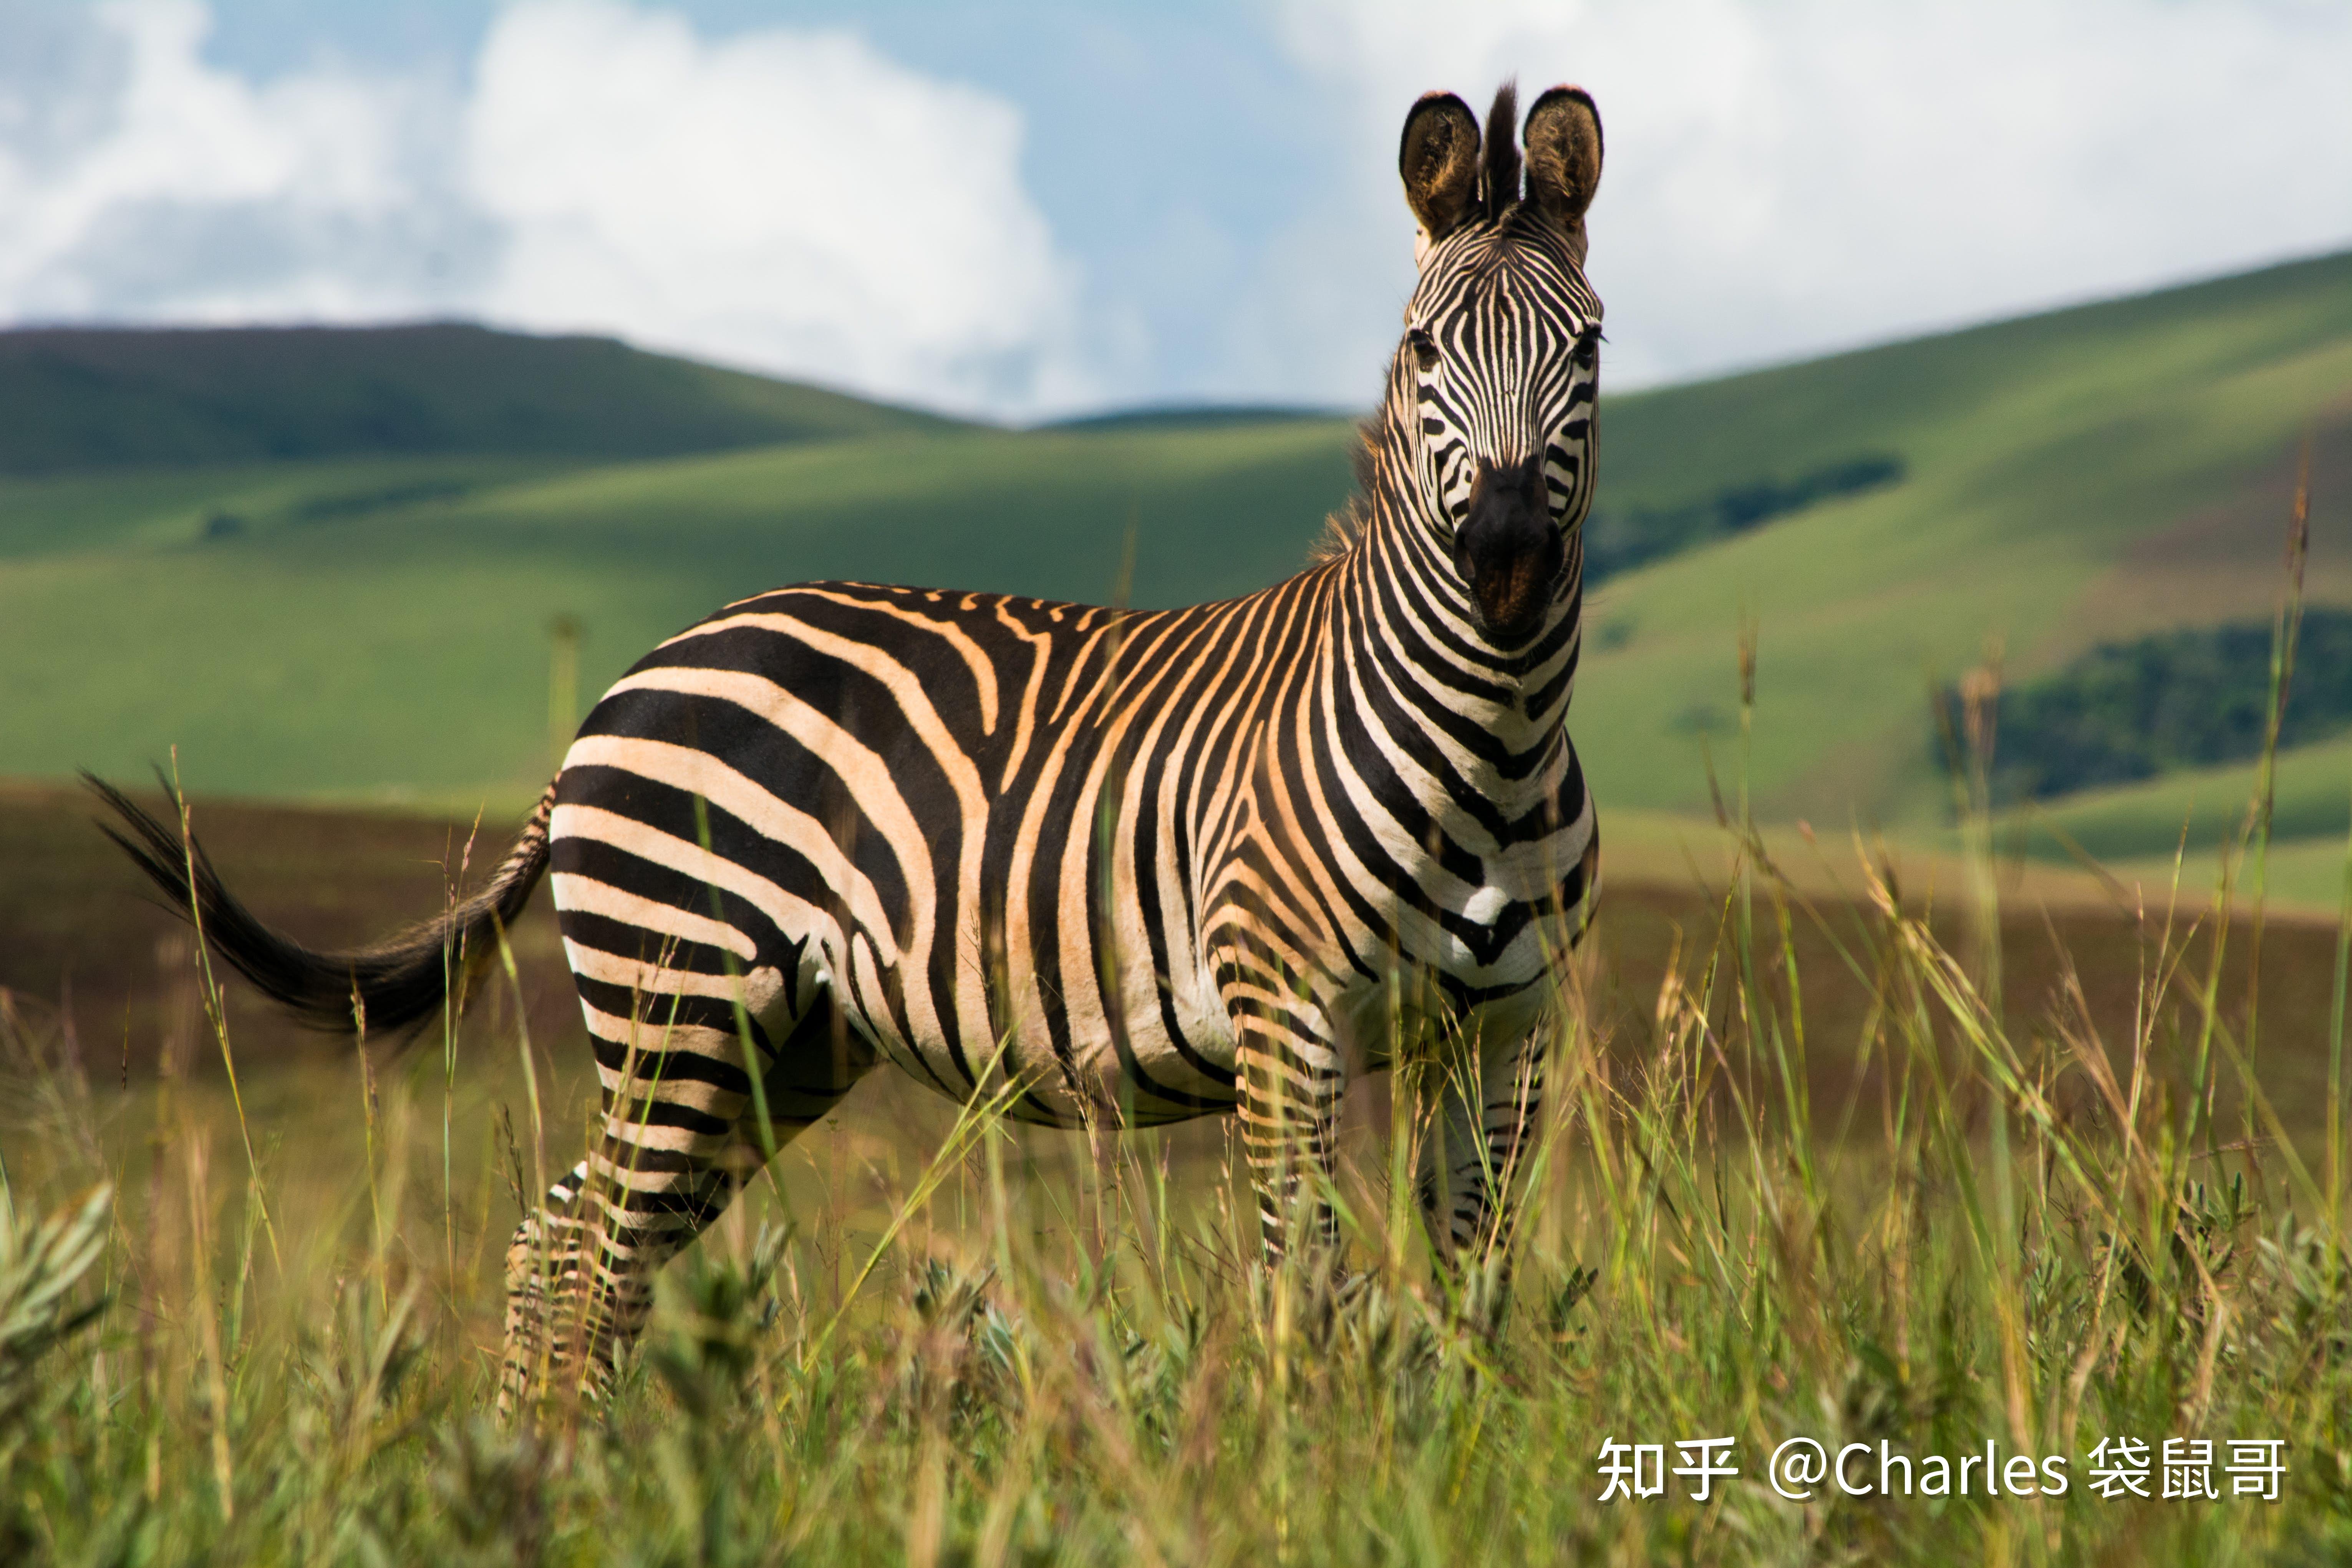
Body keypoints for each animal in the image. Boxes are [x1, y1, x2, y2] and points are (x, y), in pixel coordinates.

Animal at [91, 83, 1599, 1410]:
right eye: (1422, 350)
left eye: (1586, 348)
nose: (1507, 560)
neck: (1489, 746)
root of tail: (625, 684)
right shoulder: (1288, 1019)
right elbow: (1302, 1289)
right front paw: (1296, 1474)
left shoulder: (1504, 1037)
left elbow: (1474, 1289)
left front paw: (1450, 1465)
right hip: (678, 998)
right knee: (593, 1257)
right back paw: (568, 1484)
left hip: (777, 1043)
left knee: (563, 1241)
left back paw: (548, 1463)